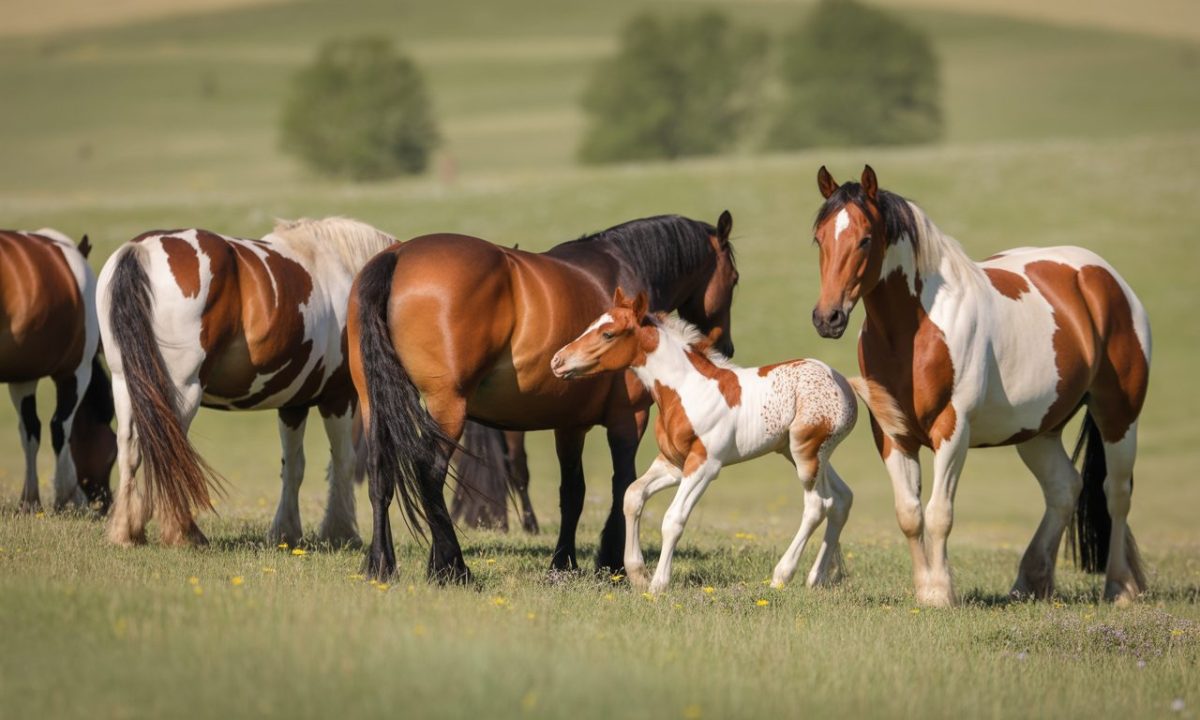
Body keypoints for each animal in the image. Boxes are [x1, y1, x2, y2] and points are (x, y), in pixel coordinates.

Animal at [1, 229, 115, 511]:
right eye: (112, 453)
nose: (104, 503)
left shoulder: (24, 377)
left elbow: (29, 429)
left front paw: (29, 501)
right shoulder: (75, 371)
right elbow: (59, 427)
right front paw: (67, 496)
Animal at [96, 217, 401, 547]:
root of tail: (141, 250)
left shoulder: (294, 403)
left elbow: (294, 467)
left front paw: (286, 531)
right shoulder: (338, 397)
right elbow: (342, 461)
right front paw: (341, 532)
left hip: (126, 384)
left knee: (130, 448)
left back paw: (126, 532)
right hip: (182, 390)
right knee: (171, 453)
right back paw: (183, 533)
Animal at [348, 212, 739, 582]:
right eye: (734, 279)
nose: (726, 347)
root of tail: (398, 255)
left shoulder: (570, 425)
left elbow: (573, 492)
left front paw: (563, 563)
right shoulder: (628, 418)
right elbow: (623, 486)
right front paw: (611, 561)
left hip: (374, 403)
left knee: (380, 472)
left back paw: (381, 564)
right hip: (448, 406)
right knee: (430, 475)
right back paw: (452, 568)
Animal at [551, 289, 858, 593]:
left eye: (608, 334)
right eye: (592, 324)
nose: (557, 361)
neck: (686, 389)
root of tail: (844, 384)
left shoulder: (704, 466)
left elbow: (673, 519)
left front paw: (658, 584)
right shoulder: (673, 463)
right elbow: (633, 495)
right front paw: (638, 574)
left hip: (807, 453)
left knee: (817, 505)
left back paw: (781, 576)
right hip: (800, 454)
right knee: (841, 499)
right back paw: (816, 578)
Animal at [809, 165, 1150, 606]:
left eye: (866, 238)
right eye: (820, 238)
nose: (827, 318)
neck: (913, 332)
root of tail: (1104, 279)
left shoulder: (952, 429)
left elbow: (938, 513)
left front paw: (941, 594)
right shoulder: (891, 434)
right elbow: (909, 514)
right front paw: (926, 590)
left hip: (1118, 417)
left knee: (1117, 493)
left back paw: (1120, 587)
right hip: (1039, 431)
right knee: (1064, 489)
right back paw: (1030, 582)